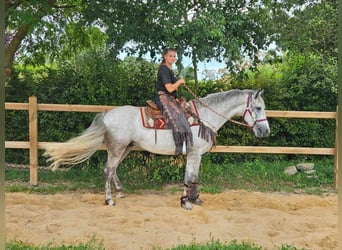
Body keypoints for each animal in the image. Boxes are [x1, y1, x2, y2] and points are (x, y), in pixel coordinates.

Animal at [44, 89, 270, 210]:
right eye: (258, 108)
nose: (265, 131)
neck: (204, 117)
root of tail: (106, 114)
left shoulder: (197, 156)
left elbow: (194, 177)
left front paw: (195, 199)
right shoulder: (193, 154)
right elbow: (188, 177)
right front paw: (186, 202)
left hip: (124, 149)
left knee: (113, 170)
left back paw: (120, 192)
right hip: (117, 149)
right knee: (108, 170)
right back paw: (109, 200)